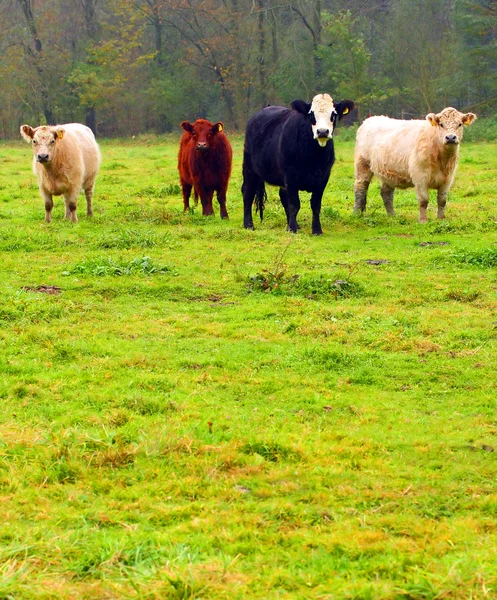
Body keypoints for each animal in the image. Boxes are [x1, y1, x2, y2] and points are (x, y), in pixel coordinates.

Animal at [240, 93, 352, 234]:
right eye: (311, 114)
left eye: (334, 114)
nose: (322, 132)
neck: (314, 156)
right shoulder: (291, 175)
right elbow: (294, 204)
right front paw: (292, 229)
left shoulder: (323, 177)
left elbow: (315, 204)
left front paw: (316, 230)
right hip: (249, 167)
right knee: (248, 192)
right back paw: (248, 224)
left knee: (282, 196)